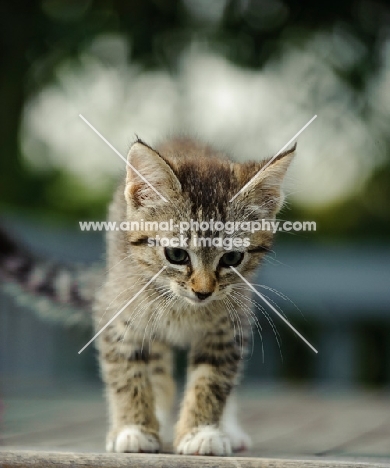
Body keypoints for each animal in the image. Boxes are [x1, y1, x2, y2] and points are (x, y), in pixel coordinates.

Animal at [96, 137, 294, 456]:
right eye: (176, 254)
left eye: (232, 258)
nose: (203, 292)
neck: (181, 307)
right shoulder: (118, 313)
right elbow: (129, 373)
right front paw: (134, 428)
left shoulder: (229, 327)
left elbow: (212, 380)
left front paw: (201, 433)